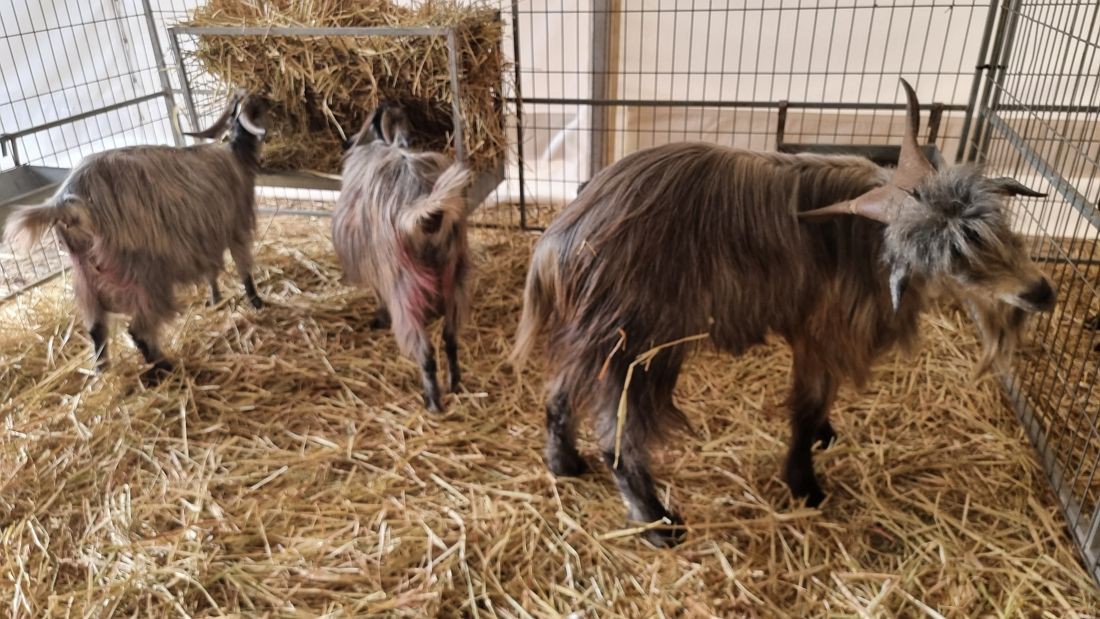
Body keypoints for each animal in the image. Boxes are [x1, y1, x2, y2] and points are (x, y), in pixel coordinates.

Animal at [3, 91, 268, 384]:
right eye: (257, 103)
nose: (270, 100)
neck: (235, 155)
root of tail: (67, 202)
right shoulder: (236, 227)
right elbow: (244, 268)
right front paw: (256, 301)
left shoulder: (206, 239)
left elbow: (211, 273)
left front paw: (215, 300)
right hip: (146, 277)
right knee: (139, 330)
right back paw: (165, 365)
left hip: (86, 279)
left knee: (97, 329)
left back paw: (102, 373)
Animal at [334, 102, 473, 411]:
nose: (346, 142)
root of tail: (427, 212)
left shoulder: (379, 272)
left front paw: (379, 318)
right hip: (454, 277)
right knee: (450, 338)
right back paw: (455, 383)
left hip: (404, 286)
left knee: (426, 351)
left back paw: (432, 400)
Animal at [510, 78, 1051, 547]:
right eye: (952, 253)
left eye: (995, 220)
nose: (1041, 293)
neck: (862, 244)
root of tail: (559, 239)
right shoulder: (822, 334)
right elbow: (807, 407)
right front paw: (804, 483)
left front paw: (825, 438)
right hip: (637, 348)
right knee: (617, 436)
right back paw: (656, 521)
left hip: (595, 340)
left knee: (560, 391)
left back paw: (564, 463)